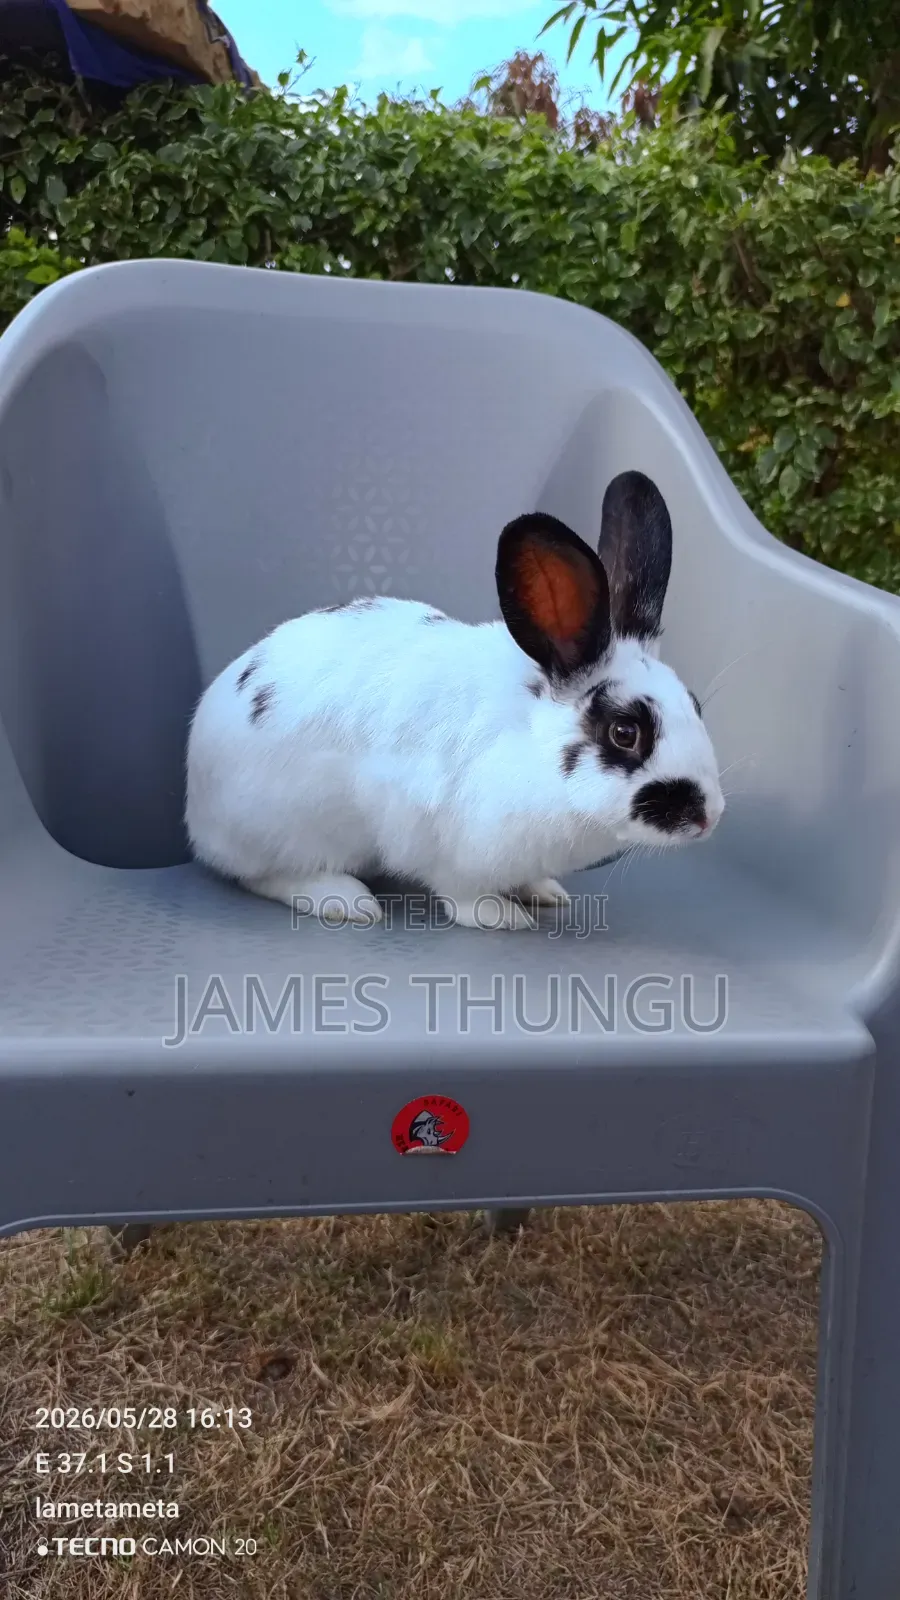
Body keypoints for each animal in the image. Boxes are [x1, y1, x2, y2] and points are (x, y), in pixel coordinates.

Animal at [185, 470, 725, 930]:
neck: (530, 744)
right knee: (264, 875)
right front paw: (502, 916)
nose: (709, 816)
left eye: (696, 706)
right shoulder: (444, 843)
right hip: (290, 827)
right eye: (624, 732)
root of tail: (197, 812)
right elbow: (462, 893)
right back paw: (346, 900)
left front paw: (545, 893)